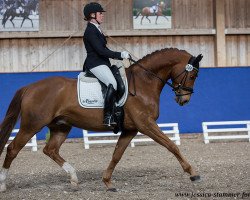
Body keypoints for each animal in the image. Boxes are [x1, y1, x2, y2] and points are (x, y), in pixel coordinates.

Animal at [0, 47, 203, 192]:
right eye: (193, 75)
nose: (183, 100)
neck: (144, 82)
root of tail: (29, 87)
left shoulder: (131, 129)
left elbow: (117, 154)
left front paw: (107, 182)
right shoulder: (146, 124)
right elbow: (172, 145)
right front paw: (193, 173)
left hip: (61, 126)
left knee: (50, 150)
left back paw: (74, 178)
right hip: (32, 125)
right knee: (12, 148)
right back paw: (3, 184)